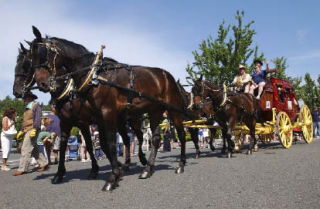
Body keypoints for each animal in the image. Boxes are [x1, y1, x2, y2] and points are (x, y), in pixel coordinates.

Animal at [28, 26, 188, 191]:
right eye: (30, 58)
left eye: (42, 54)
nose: (42, 84)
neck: (95, 76)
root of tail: (168, 76)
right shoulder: (97, 117)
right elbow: (103, 144)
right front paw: (117, 172)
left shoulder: (107, 113)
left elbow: (111, 144)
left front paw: (112, 178)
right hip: (154, 111)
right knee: (155, 139)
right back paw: (147, 169)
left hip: (173, 110)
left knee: (181, 135)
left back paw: (180, 165)